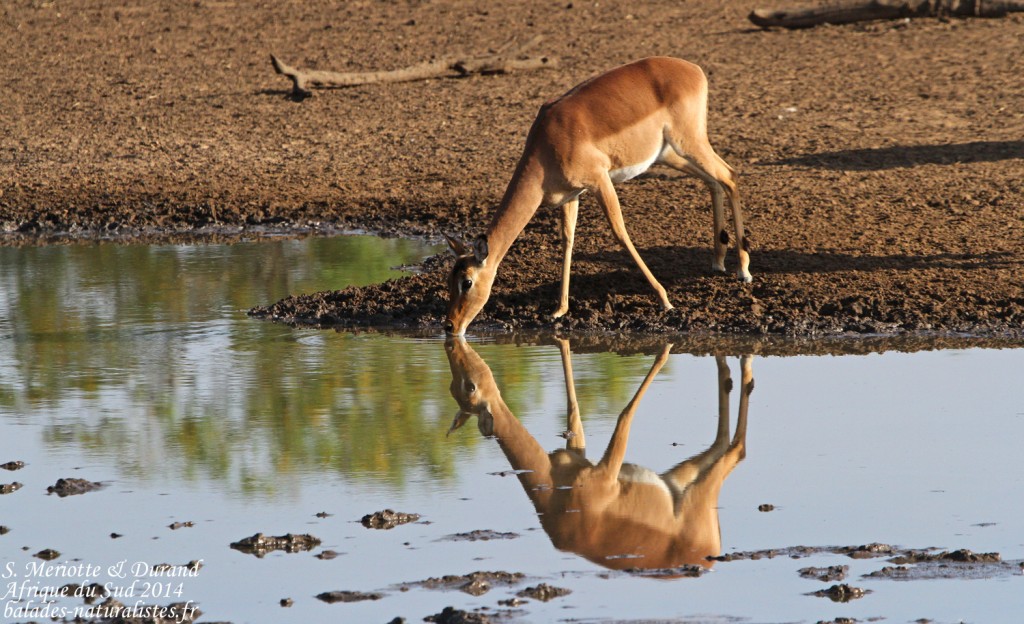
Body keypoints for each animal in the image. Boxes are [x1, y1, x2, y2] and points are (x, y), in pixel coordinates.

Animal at [444, 56, 750, 336]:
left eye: (467, 282)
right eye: (449, 279)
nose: (450, 326)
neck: (547, 145)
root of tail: (693, 68)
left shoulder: (600, 181)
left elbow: (620, 232)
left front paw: (665, 300)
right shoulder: (570, 196)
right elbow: (567, 241)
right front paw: (559, 310)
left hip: (689, 142)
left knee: (730, 176)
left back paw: (743, 270)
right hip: (670, 154)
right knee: (714, 181)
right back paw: (718, 261)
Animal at [445, 337, 753, 572]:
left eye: (469, 386)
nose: (457, 350)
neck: (555, 492)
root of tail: (706, 556)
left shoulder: (605, 470)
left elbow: (623, 415)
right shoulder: (577, 450)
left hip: (697, 491)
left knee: (737, 450)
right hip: (683, 480)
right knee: (725, 442)